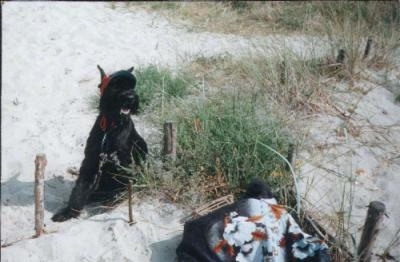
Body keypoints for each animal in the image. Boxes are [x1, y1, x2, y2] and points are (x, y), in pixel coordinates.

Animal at [52, 65, 148, 221]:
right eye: (115, 85)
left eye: (131, 86)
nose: (131, 98)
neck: (110, 126)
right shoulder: (91, 162)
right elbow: (80, 187)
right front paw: (69, 211)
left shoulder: (124, 163)